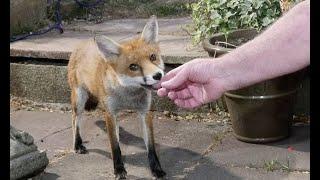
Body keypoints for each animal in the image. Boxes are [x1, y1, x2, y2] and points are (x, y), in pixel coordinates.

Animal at [68, 16, 166, 179]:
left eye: (153, 57)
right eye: (133, 67)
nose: (158, 75)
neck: (128, 96)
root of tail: (84, 43)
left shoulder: (145, 112)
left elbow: (151, 146)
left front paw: (156, 169)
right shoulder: (110, 113)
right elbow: (115, 147)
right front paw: (119, 170)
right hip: (79, 100)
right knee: (76, 121)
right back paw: (77, 144)